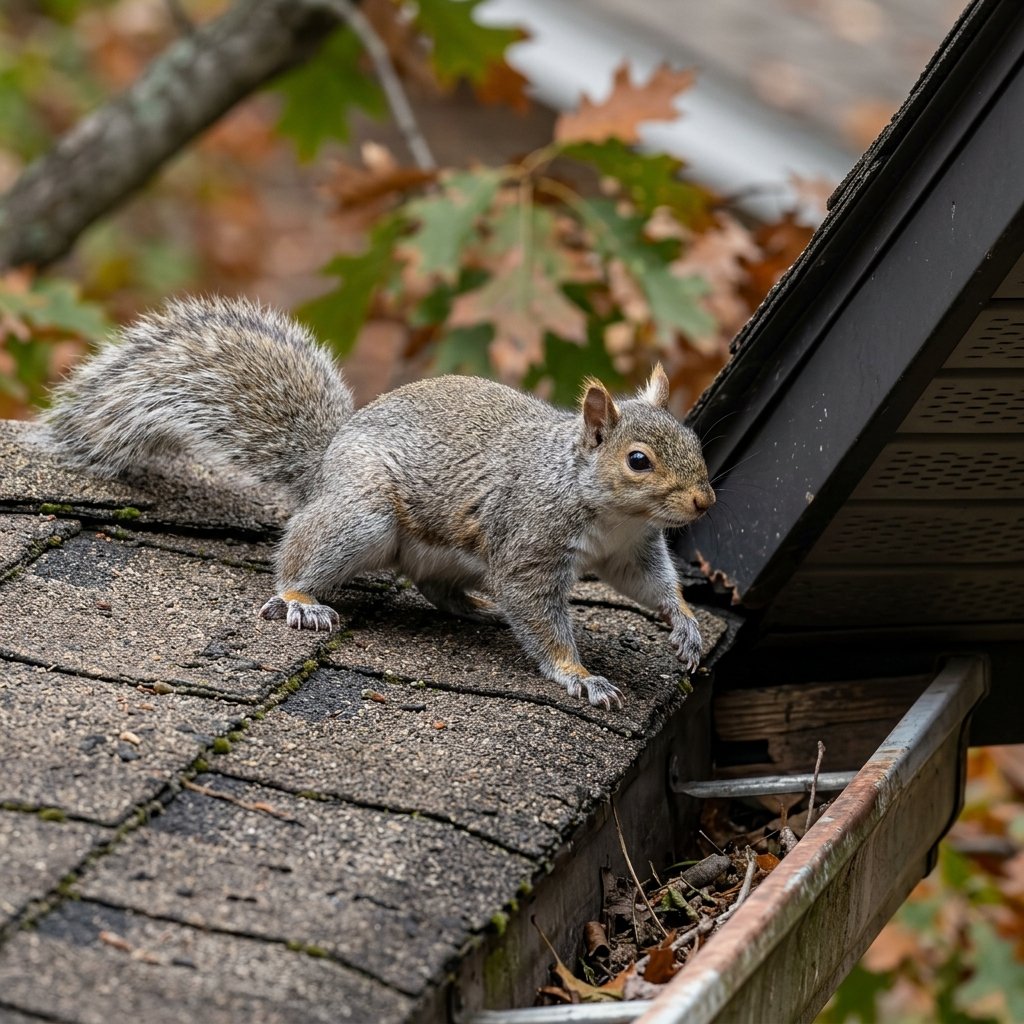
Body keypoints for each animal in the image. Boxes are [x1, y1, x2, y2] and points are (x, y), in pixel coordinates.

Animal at [44, 295, 715, 709]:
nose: (705, 502)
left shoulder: (629, 551)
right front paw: (581, 677)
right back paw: (301, 601)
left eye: (693, 440)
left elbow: (648, 583)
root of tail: (325, 465)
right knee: (299, 559)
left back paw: (475, 607)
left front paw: (684, 623)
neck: (607, 511)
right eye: (638, 461)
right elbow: (538, 615)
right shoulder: (531, 543)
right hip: (363, 516)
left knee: (434, 585)